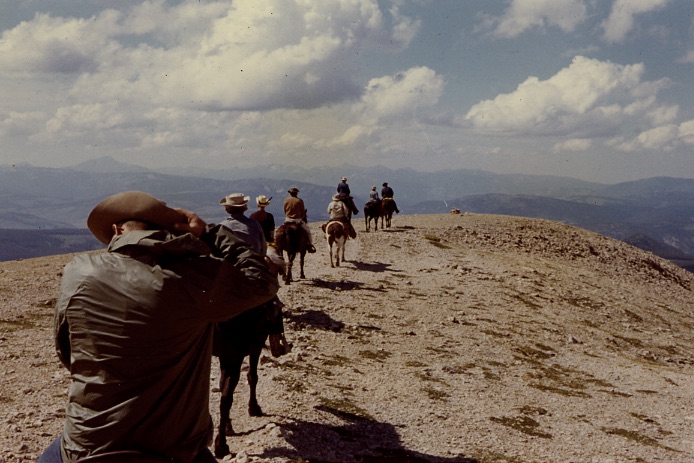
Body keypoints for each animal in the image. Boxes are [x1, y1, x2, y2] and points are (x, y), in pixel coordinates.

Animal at [212, 300, 288, 458]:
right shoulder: (255, 345)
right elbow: (252, 377)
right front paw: (254, 408)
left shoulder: (225, 356)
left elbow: (222, 384)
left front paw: (228, 425)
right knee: (226, 399)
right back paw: (221, 446)